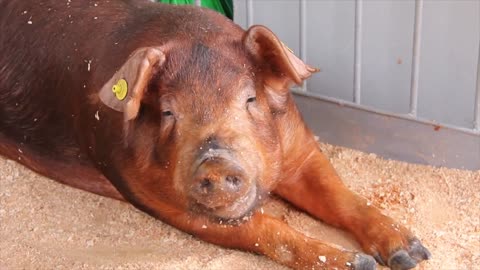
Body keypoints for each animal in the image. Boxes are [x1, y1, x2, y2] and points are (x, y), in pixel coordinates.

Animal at [0, 1, 432, 268]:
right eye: (169, 111)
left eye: (250, 98)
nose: (216, 160)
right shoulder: (156, 197)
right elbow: (268, 230)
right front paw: (359, 264)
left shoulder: (301, 150)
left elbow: (340, 195)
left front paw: (412, 255)